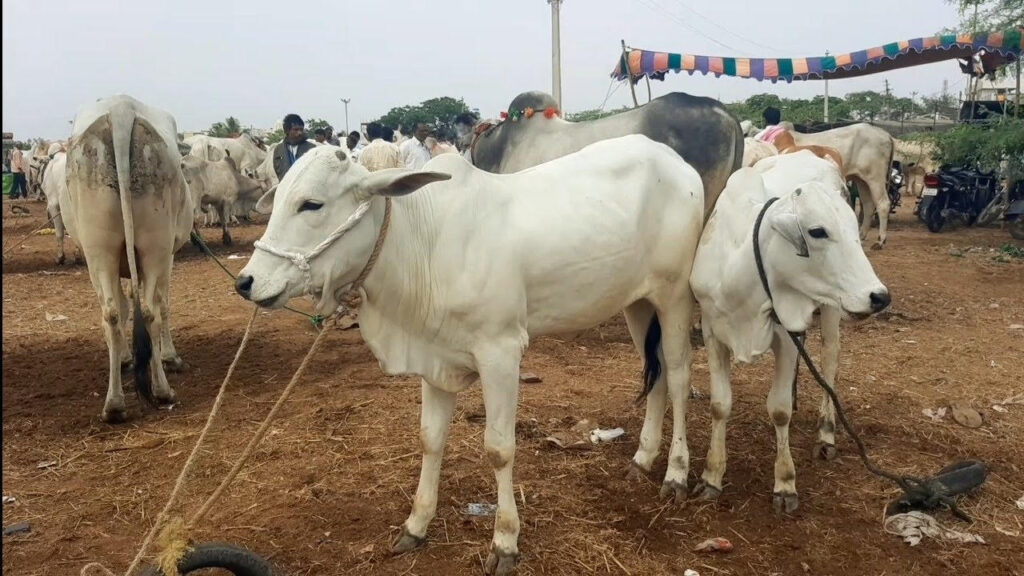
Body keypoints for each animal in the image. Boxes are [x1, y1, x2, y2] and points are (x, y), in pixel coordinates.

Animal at [62, 91, 193, 420]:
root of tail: (121, 108)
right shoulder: (168, 258)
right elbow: (162, 304)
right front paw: (169, 356)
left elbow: (123, 307)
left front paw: (124, 357)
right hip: (154, 249)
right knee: (149, 310)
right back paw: (161, 390)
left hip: (99, 251)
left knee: (112, 312)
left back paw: (115, 403)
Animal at [235, 136, 708, 569]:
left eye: (311, 205)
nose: (246, 282)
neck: (424, 244)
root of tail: (674, 158)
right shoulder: (433, 359)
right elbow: (430, 440)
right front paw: (416, 524)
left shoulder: (501, 352)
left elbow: (499, 448)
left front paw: (505, 541)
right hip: (637, 304)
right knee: (656, 375)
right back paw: (643, 457)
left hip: (674, 296)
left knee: (679, 375)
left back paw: (676, 472)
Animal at [692, 151, 892, 510]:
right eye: (817, 231)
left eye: (854, 232)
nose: (880, 296)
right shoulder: (713, 332)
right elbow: (720, 404)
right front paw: (711, 475)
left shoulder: (785, 338)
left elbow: (779, 410)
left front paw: (785, 483)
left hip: (832, 307)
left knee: (829, 358)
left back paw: (826, 431)